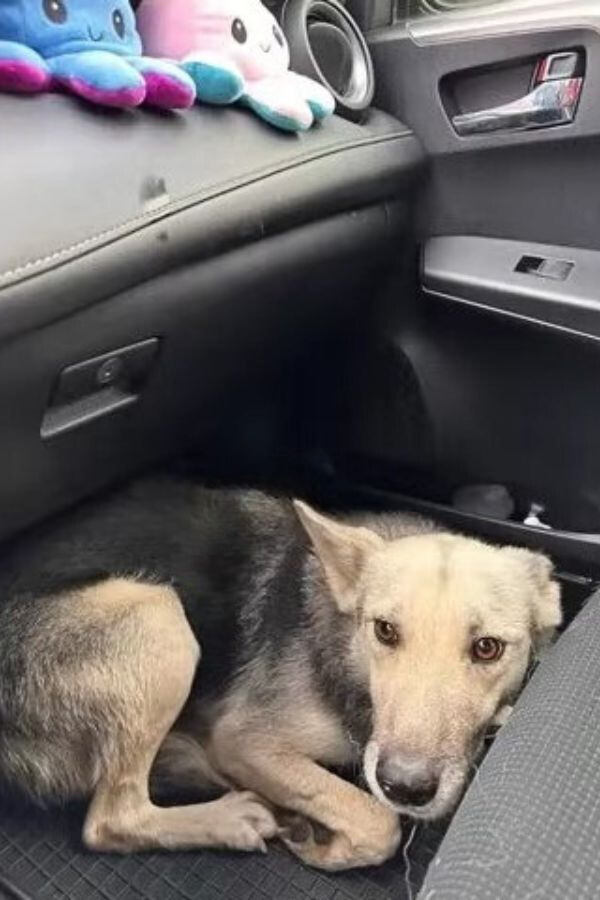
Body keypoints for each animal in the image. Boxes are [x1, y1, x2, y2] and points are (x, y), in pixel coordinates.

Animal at [0, 478, 560, 872]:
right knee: (112, 818)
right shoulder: (245, 741)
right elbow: (378, 821)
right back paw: (227, 816)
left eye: (487, 648)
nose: (407, 786)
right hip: (157, 615)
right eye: (384, 631)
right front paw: (324, 846)